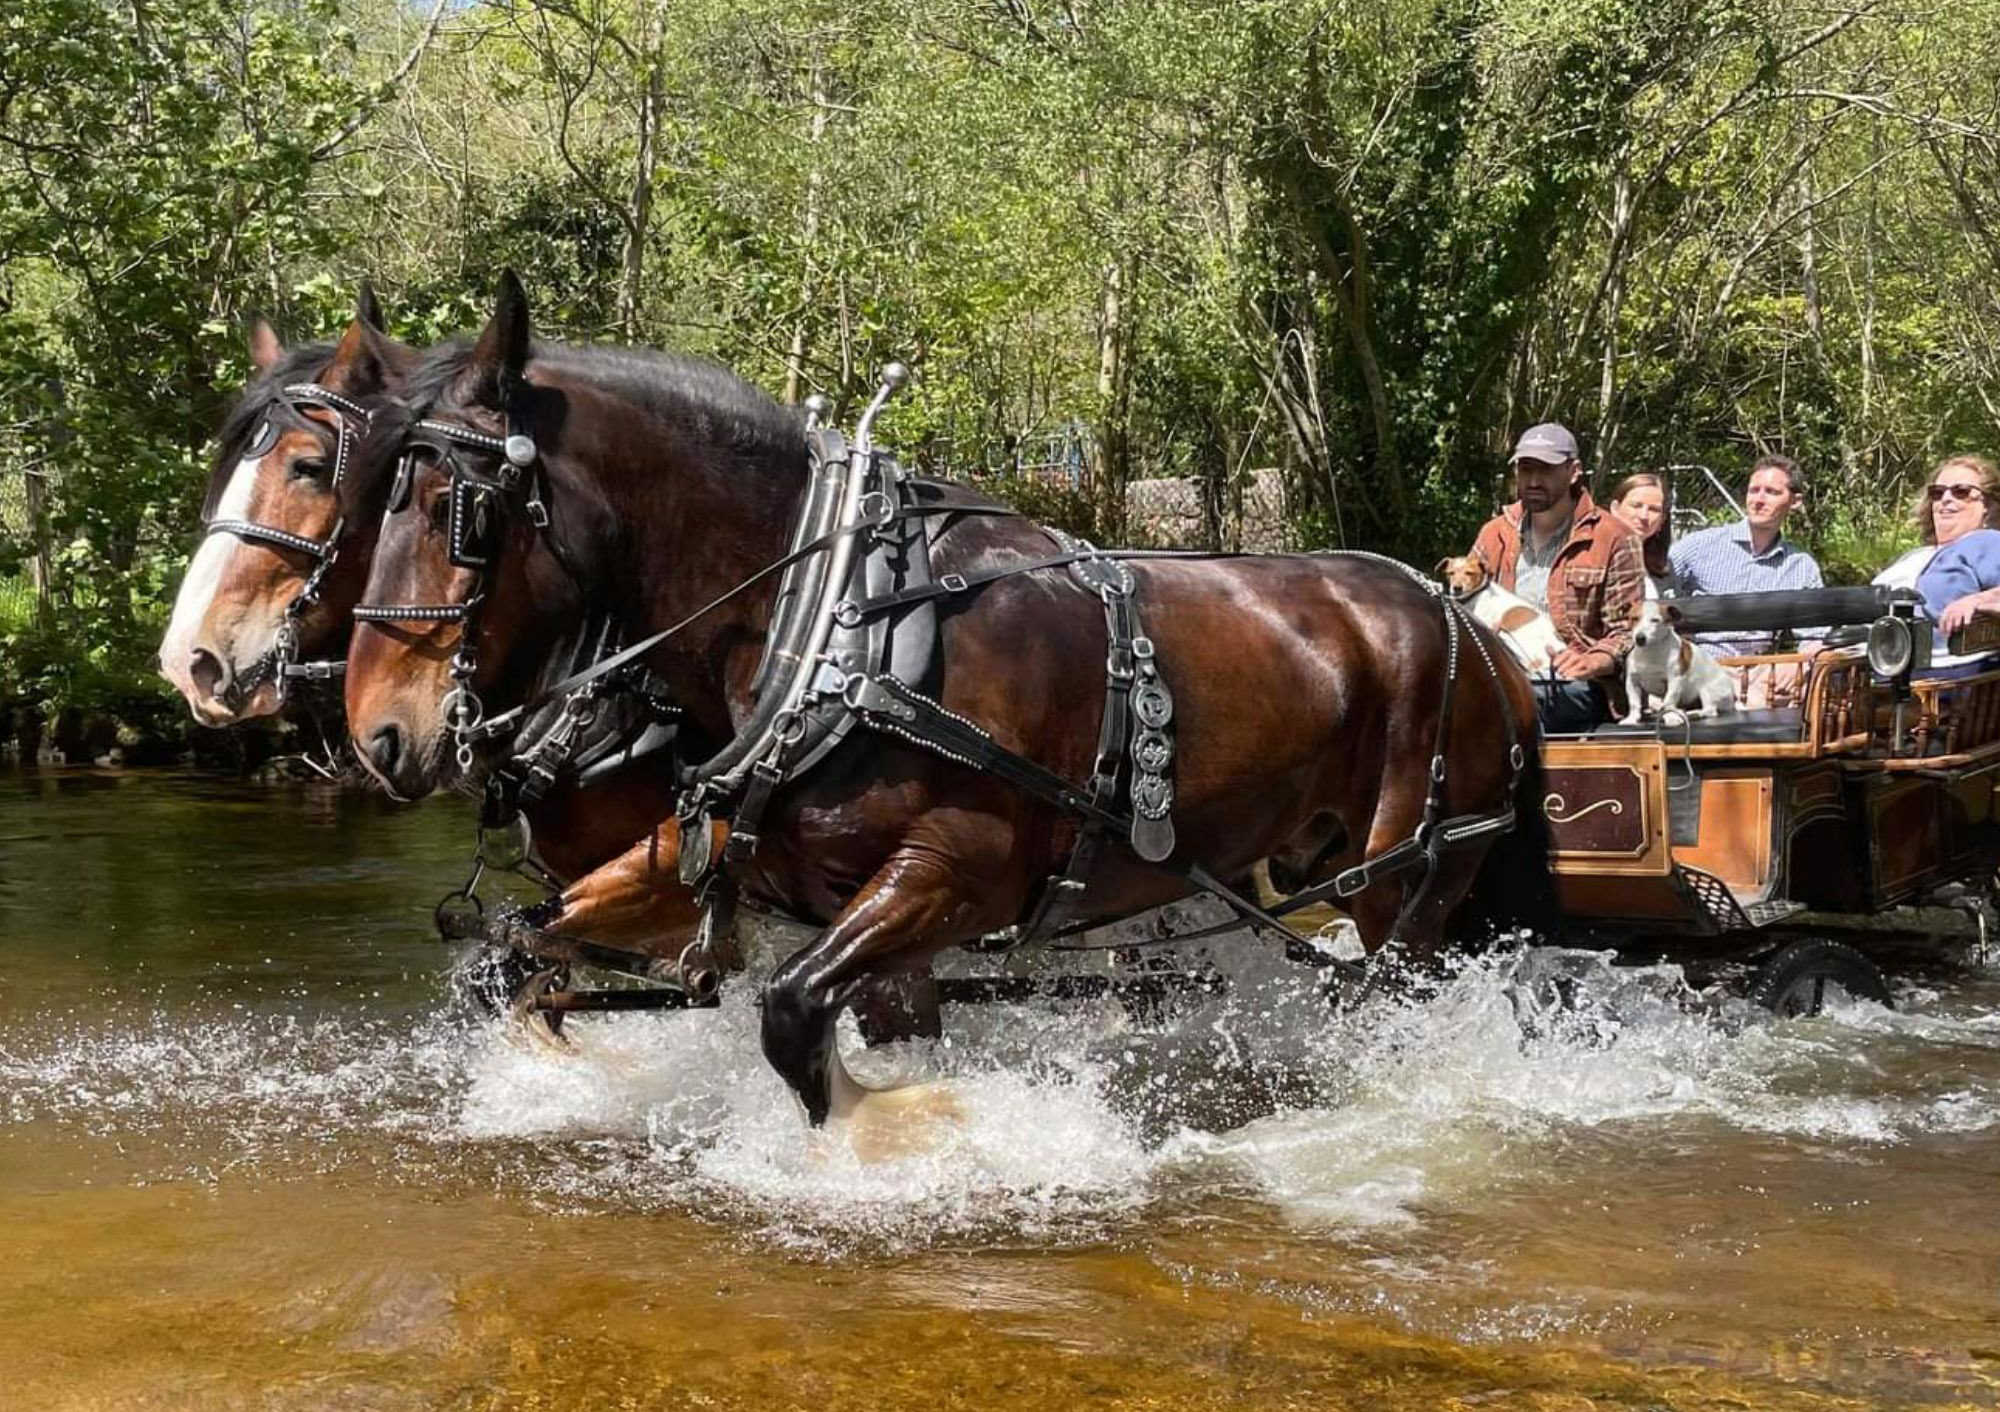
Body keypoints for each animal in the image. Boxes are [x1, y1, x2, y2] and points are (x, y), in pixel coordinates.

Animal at [348, 276, 1560, 1128]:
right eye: (370, 498)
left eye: (459, 512)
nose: (380, 734)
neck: (837, 621)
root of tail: (1481, 638)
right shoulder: (754, 869)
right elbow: (515, 952)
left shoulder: (961, 874)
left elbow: (791, 1013)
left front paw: (907, 1129)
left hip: (1406, 883)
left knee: (1406, 997)